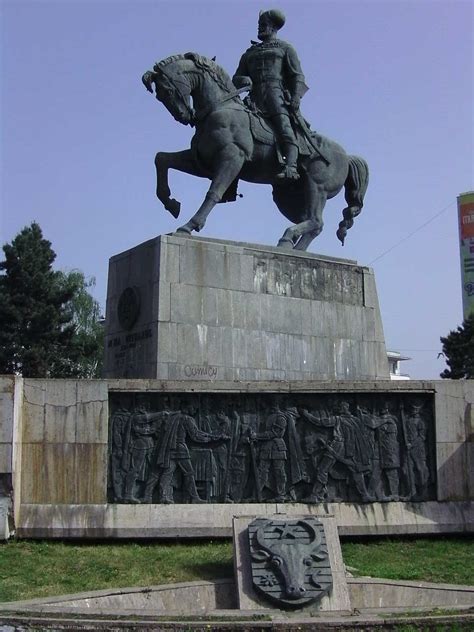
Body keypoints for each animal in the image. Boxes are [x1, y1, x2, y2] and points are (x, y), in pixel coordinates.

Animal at [143, 52, 368, 249]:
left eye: (167, 90)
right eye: (159, 95)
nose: (183, 117)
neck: (218, 109)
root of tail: (346, 156)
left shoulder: (232, 158)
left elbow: (214, 192)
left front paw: (189, 225)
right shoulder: (200, 162)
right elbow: (161, 159)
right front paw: (170, 203)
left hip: (317, 187)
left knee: (316, 221)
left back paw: (287, 239)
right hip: (288, 196)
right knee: (311, 222)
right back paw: (293, 247)